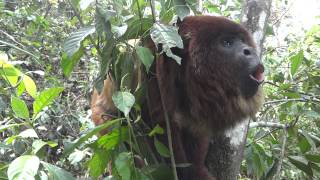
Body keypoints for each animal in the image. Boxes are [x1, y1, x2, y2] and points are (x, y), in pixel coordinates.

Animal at [89, 15, 262, 180]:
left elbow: (197, 128)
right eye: (227, 42)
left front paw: (197, 169)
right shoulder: (155, 64)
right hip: (103, 120)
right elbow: (159, 123)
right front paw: (186, 172)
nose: (250, 51)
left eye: (242, 41)